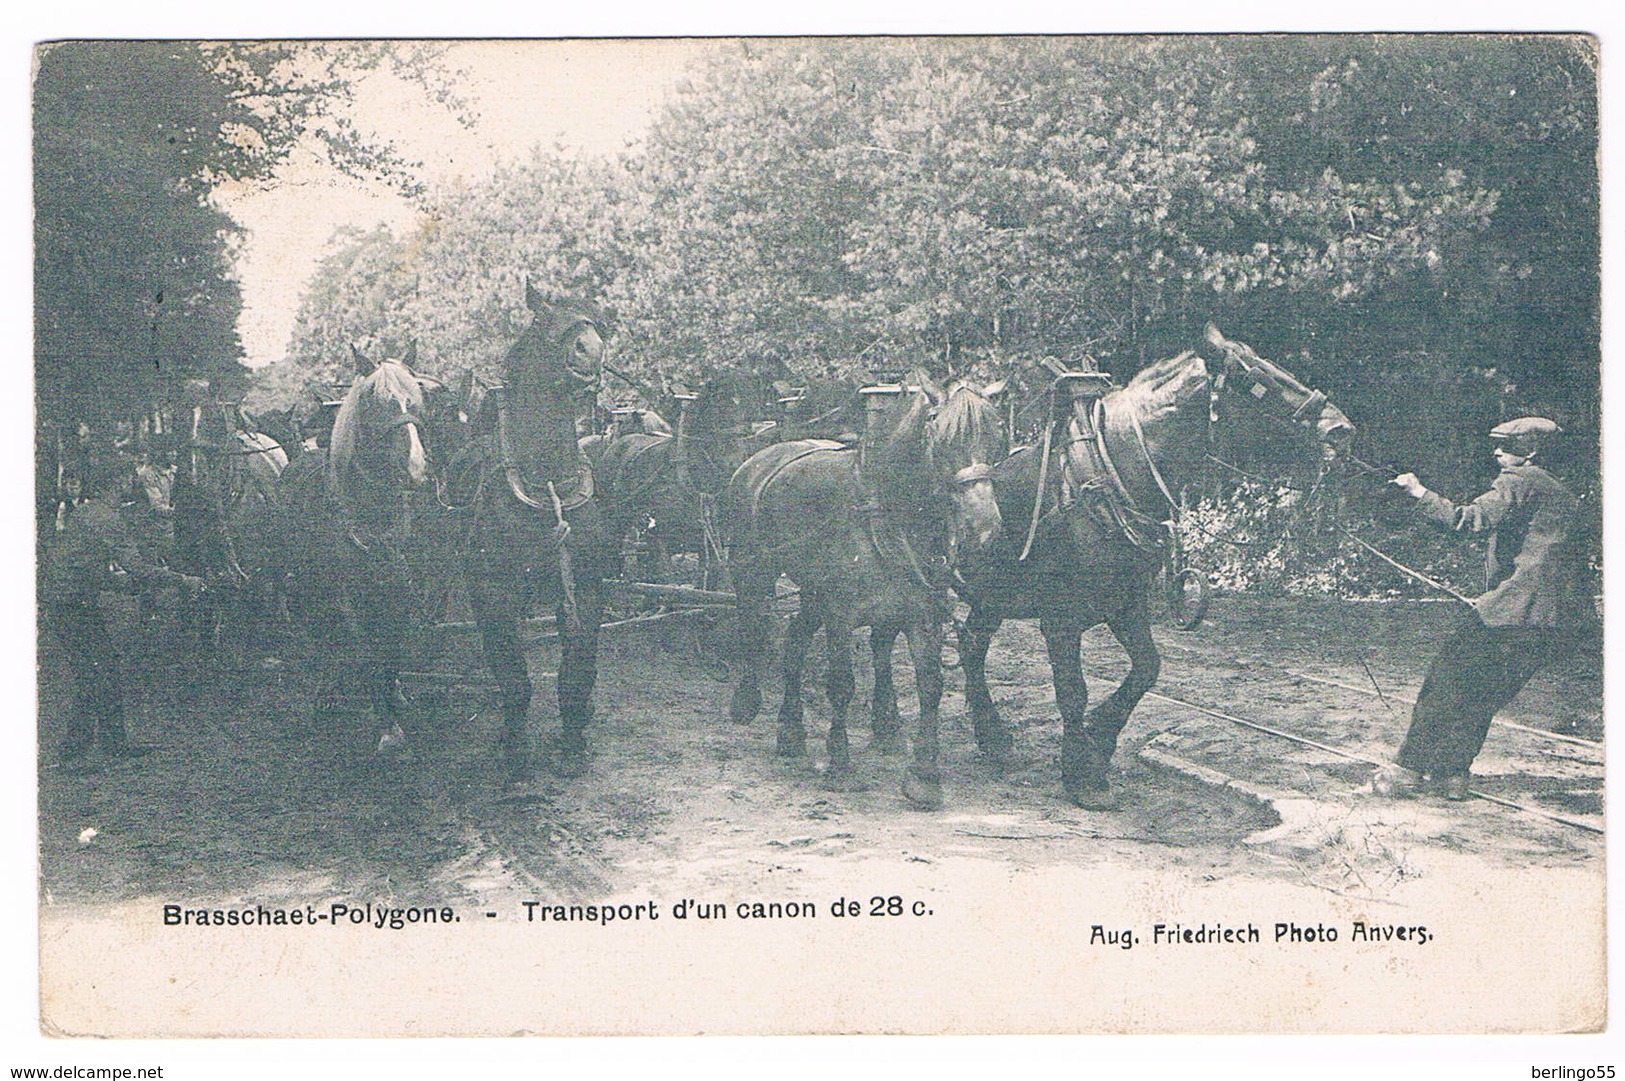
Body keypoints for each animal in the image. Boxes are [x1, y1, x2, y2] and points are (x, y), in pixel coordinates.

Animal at [455, 282, 611, 780]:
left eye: (596, 321)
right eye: (545, 322)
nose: (590, 350)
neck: (546, 484)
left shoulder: (586, 587)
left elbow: (577, 671)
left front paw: (574, 743)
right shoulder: (493, 591)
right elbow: (513, 677)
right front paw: (517, 754)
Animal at [724, 375, 1001, 806]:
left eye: (995, 437)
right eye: (943, 440)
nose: (984, 528)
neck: (886, 517)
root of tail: (760, 458)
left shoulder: (922, 613)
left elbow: (931, 684)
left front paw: (924, 776)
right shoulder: (841, 613)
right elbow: (841, 685)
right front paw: (840, 765)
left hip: (814, 592)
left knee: (795, 639)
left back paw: (790, 730)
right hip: (753, 572)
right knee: (754, 626)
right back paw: (747, 702)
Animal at [949, 325, 1358, 806]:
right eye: (1253, 378)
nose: (1341, 429)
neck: (1099, 480)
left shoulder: (1126, 603)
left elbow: (1147, 668)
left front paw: (1099, 741)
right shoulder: (1060, 618)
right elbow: (1073, 692)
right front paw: (1081, 773)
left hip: (991, 597)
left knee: (971, 647)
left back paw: (993, 739)